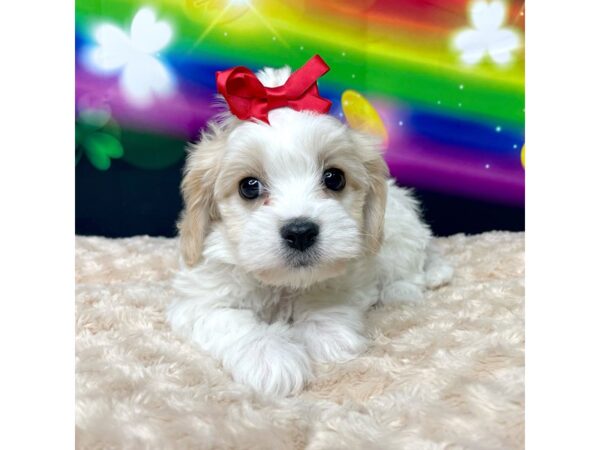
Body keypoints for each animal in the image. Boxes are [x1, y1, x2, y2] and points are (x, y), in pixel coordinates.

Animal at [166, 64, 452, 398]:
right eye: (249, 186)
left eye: (334, 178)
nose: (300, 232)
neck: (283, 284)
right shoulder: (197, 300)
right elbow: (228, 319)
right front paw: (270, 357)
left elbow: (327, 290)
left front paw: (326, 332)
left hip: (399, 233)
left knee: (411, 267)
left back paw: (402, 289)